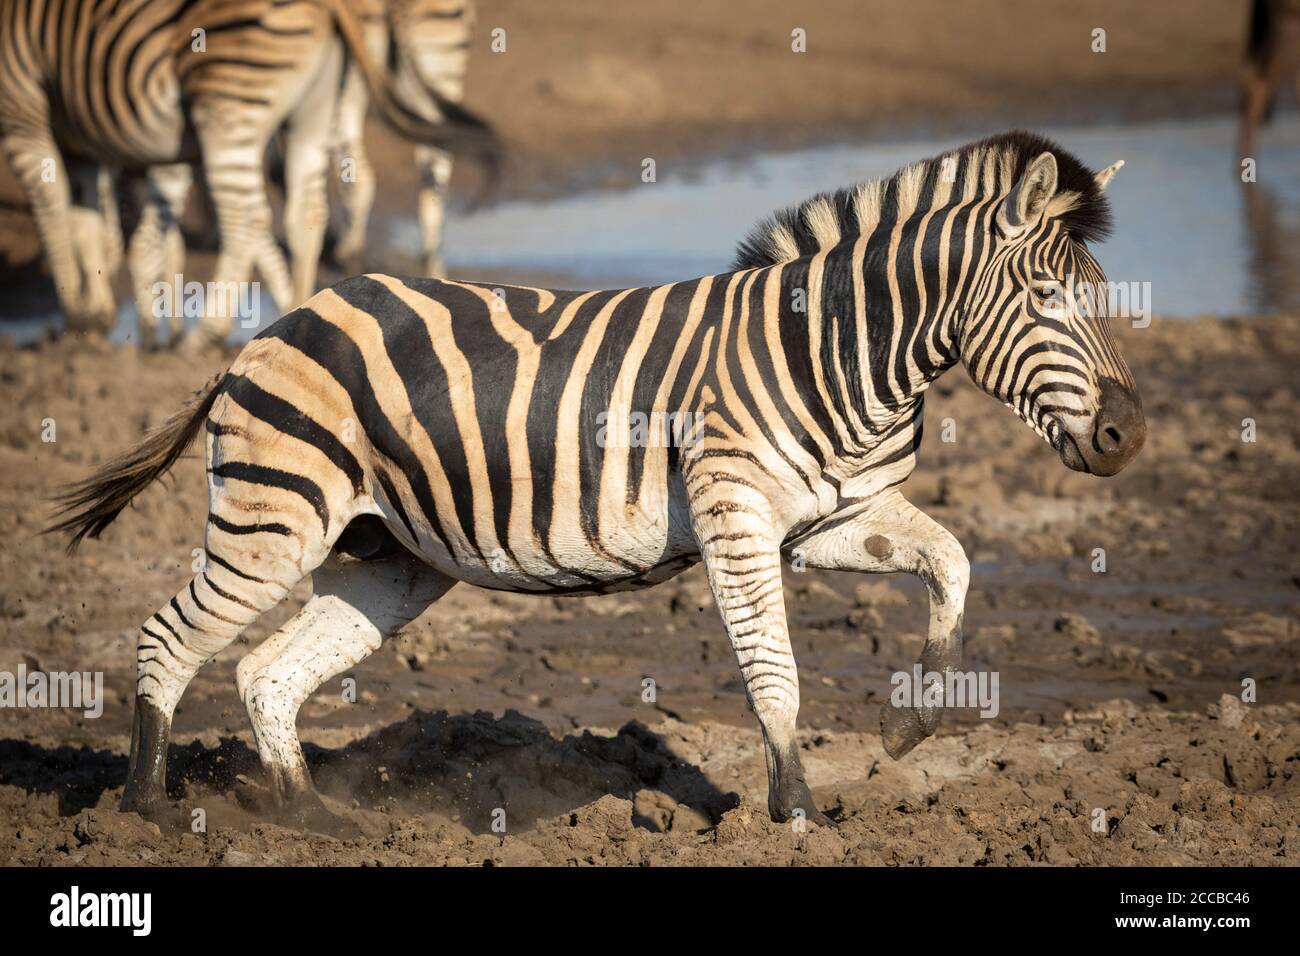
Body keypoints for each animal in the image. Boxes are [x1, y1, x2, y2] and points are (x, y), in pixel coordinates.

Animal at [0, 0, 496, 348]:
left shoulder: (24, 108)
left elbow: (57, 211)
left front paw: (84, 317)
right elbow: (96, 221)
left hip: (242, 100)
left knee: (258, 213)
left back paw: (207, 333)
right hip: (413, 63)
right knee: (408, 172)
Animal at [50, 128, 1149, 832]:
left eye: (1101, 295)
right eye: (1046, 297)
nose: (1128, 433)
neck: (840, 351)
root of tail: (270, 330)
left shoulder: (831, 518)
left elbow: (953, 562)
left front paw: (909, 724)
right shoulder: (736, 513)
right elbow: (775, 672)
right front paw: (794, 815)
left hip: (385, 557)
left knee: (264, 674)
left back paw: (319, 821)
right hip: (272, 517)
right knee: (167, 639)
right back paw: (145, 815)